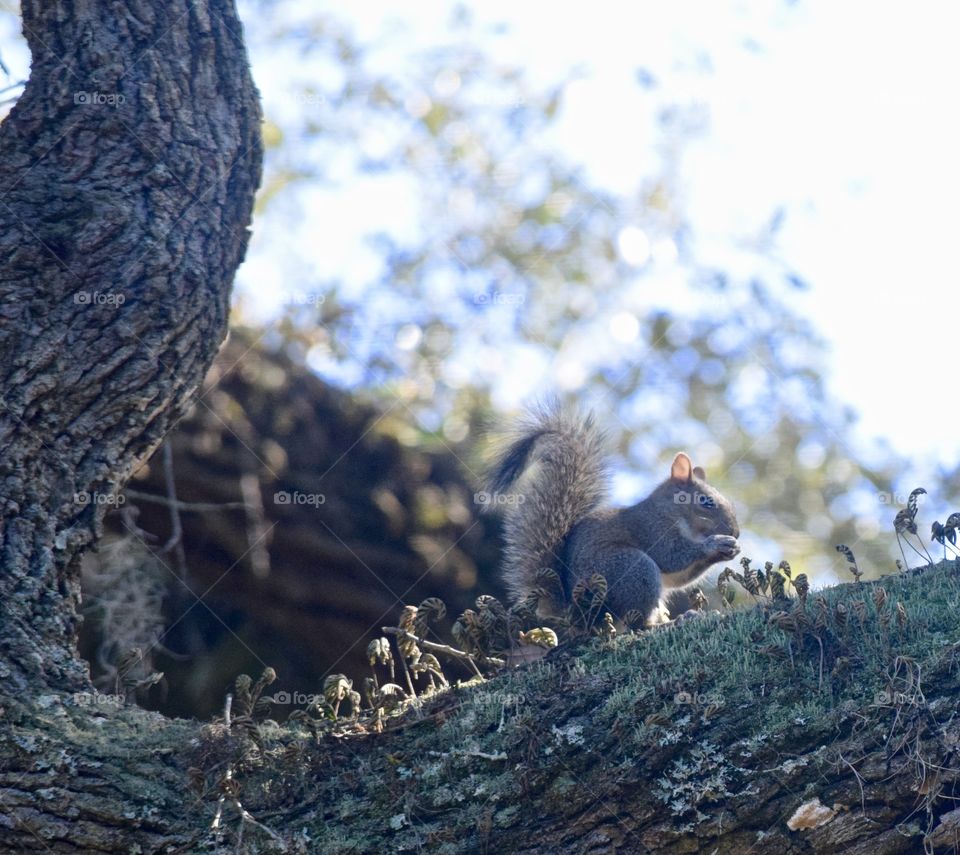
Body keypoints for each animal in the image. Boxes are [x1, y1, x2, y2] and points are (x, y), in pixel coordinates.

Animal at [484, 402, 740, 623]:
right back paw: (665, 624)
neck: (669, 512)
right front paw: (715, 543)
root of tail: (577, 613)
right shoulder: (651, 528)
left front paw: (730, 549)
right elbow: (672, 556)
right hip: (631, 568)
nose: (736, 533)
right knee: (637, 623)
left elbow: (680, 577)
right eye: (706, 502)